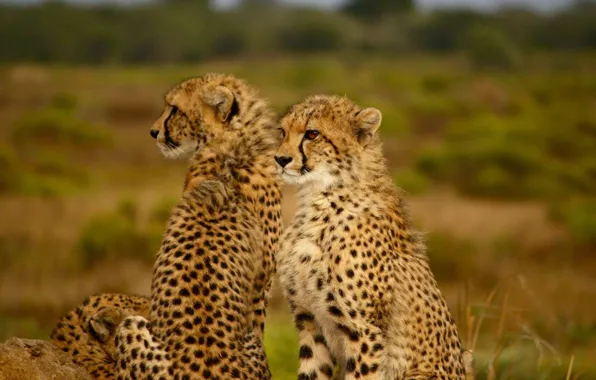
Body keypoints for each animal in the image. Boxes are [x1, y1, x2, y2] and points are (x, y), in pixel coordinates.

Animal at [276, 93, 474, 378]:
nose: (280, 159)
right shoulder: (309, 320)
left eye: (312, 134)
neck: (318, 200)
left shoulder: (364, 330)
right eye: (282, 132)